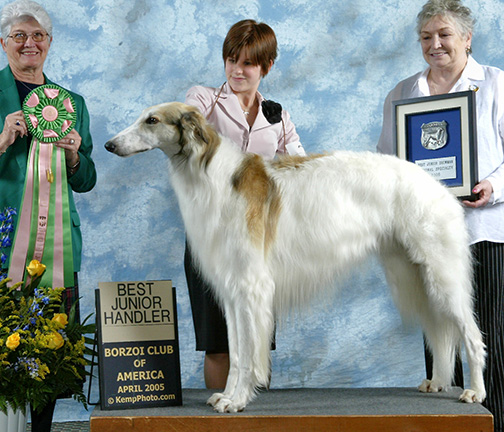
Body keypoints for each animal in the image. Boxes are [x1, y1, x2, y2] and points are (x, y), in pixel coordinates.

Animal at [105, 100, 484, 412]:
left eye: (152, 120)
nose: (109, 145)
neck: (212, 175)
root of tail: (436, 185)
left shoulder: (251, 287)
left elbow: (249, 355)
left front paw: (238, 400)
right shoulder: (232, 292)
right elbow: (236, 353)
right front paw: (226, 395)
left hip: (443, 277)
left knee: (470, 335)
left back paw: (475, 392)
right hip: (415, 275)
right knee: (440, 332)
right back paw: (438, 382)